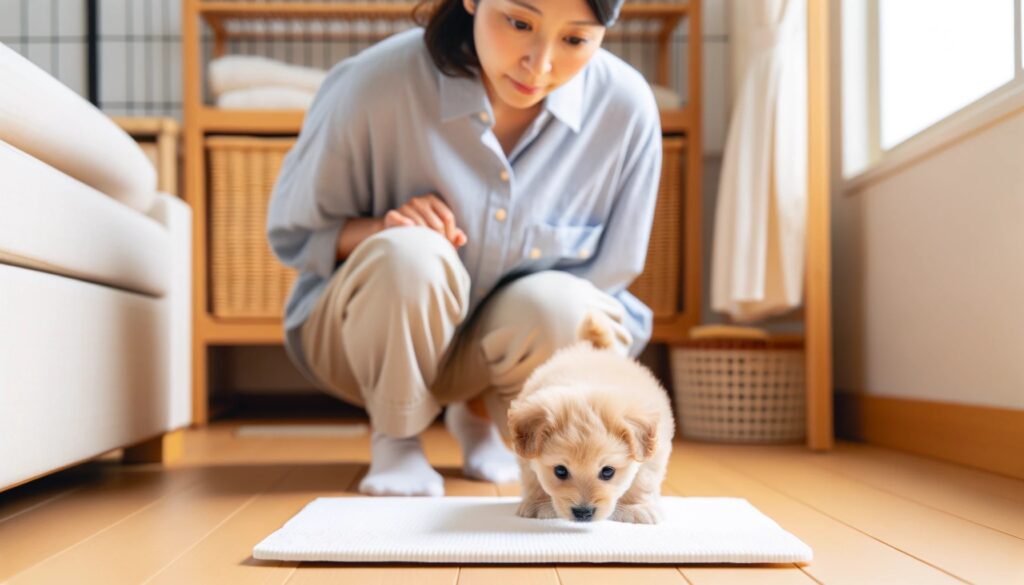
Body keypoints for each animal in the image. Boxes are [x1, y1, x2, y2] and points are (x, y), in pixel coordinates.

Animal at [507, 315, 675, 524]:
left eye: (608, 471)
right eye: (560, 471)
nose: (583, 513)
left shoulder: (653, 456)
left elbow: (642, 482)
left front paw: (635, 507)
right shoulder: (526, 459)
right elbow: (533, 481)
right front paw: (538, 505)